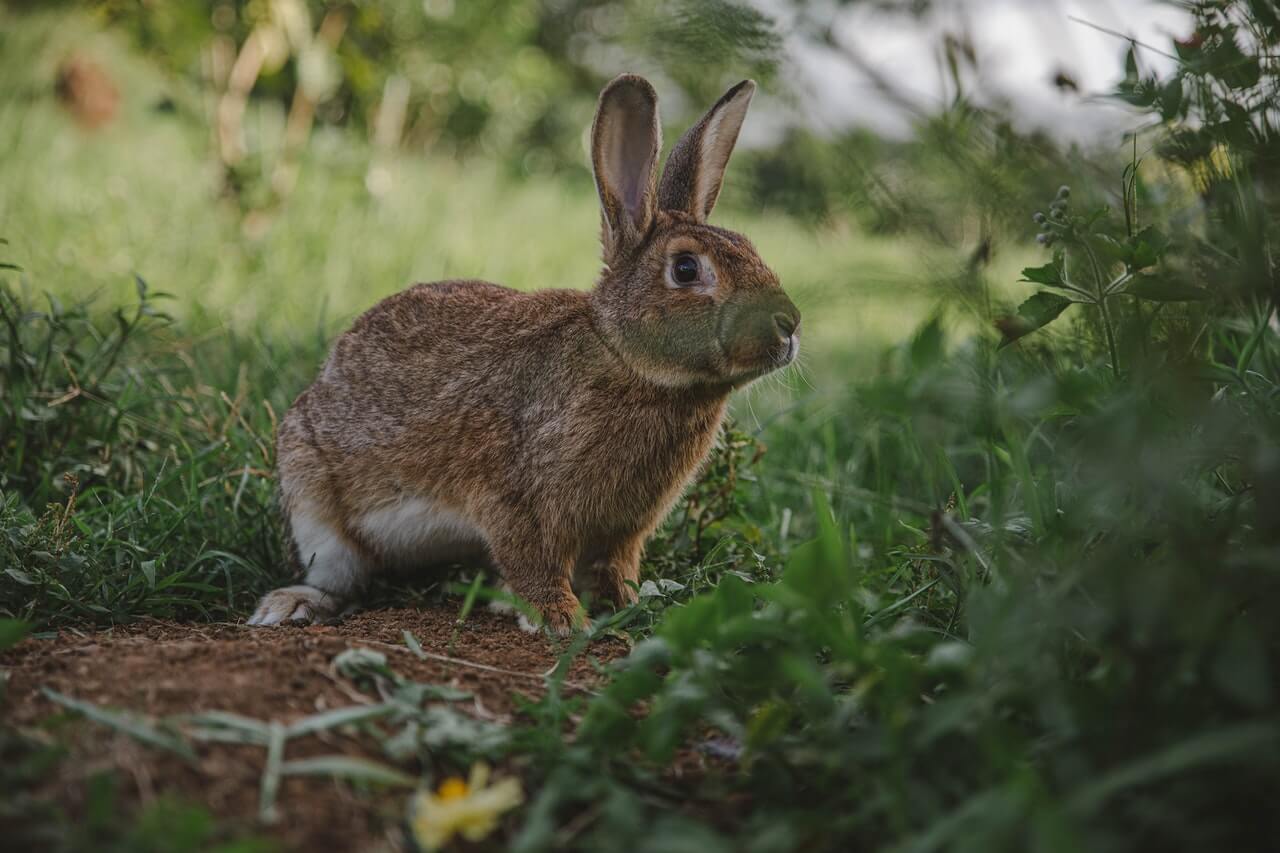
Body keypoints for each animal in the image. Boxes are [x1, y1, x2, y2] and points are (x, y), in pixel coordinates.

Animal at [248, 73, 800, 634]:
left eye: (749, 246)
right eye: (686, 269)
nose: (790, 325)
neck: (624, 359)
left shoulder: (624, 530)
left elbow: (614, 568)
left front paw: (627, 604)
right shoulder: (514, 502)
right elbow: (534, 562)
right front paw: (562, 620)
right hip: (314, 503)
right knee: (339, 576)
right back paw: (291, 606)